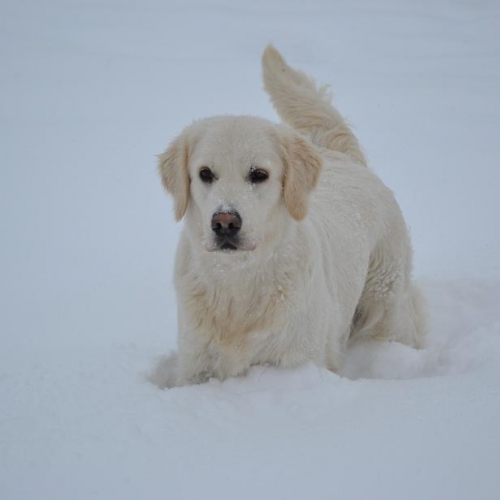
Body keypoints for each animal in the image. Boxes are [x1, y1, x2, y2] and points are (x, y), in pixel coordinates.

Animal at [153, 46, 426, 386]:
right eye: (205, 173)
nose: (225, 223)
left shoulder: (298, 361)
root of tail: (346, 158)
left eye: (259, 174)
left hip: (387, 302)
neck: (239, 282)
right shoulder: (194, 368)